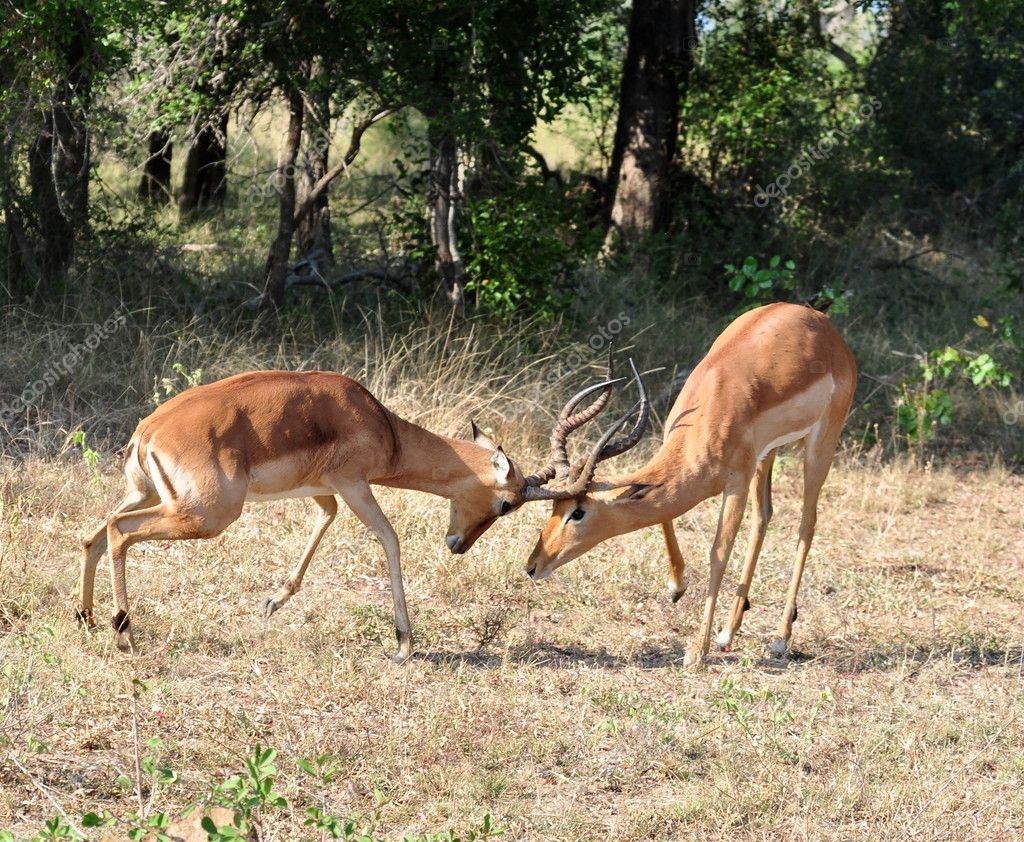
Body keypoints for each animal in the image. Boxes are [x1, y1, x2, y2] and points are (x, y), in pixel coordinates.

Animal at [79, 362, 643, 667]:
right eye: (506, 504)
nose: (458, 545)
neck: (379, 424)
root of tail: (147, 433)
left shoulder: (327, 491)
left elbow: (323, 522)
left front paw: (273, 602)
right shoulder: (355, 485)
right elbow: (391, 540)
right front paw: (403, 645)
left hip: (151, 497)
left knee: (95, 532)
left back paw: (87, 619)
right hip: (205, 516)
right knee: (119, 532)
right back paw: (124, 634)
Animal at [520, 303, 856, 667]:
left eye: (578, 512)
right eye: (555, 506)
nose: (532, 566)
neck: (709, 409)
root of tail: (824, 325)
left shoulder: (736, 483)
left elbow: (718, 553)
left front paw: (696, 650)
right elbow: (665, 517)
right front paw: (676, 587)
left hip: (820, 445)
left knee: (807, 525)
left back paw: (780, 639)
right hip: (768, 455)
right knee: (763, 517)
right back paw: (728, 632)